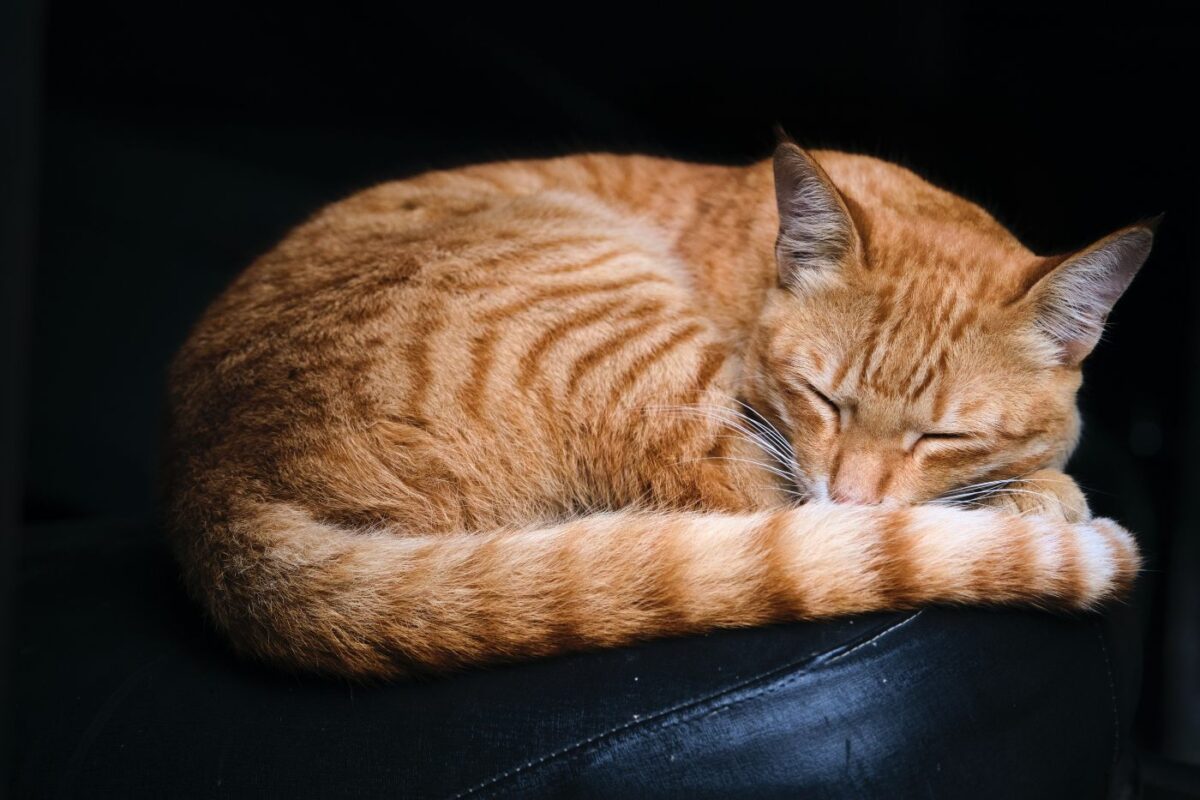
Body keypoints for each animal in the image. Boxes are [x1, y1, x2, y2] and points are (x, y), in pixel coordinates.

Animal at [162, 142, 1152, 676]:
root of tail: (213, 491)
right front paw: (1037, 491)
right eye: (822, 397)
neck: (756, 263)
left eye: (943, 434)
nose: (853, 500)